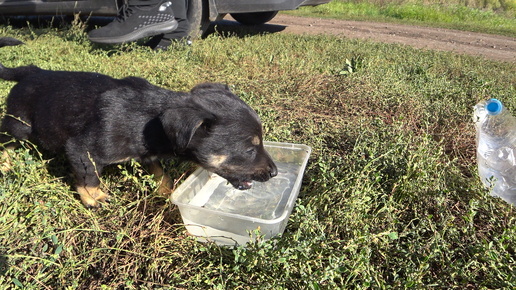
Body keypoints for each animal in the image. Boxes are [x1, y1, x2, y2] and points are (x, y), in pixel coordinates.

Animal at [0, 38, 276, 207]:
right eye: (249, 150)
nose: (274, 173)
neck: (149, 122)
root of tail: (31, 71)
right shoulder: (81, 149)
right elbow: (89, 176)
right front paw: (93, 198)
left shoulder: (148, 154)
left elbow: (161, 173)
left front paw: (166, 193)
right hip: (19, 126)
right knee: (6, 140)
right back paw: (5, 165)